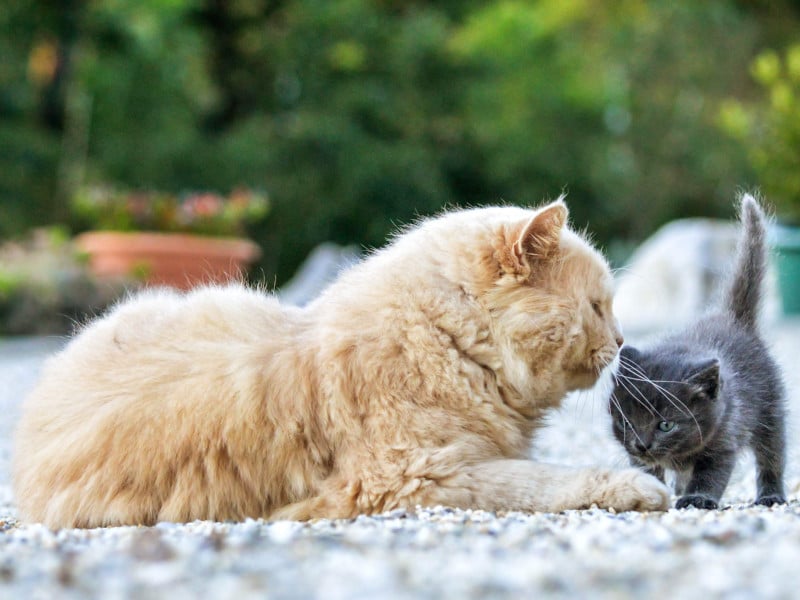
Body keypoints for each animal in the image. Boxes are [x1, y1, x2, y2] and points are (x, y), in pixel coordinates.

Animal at [14, 199, 668, 528]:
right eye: (598, 306)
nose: (622, 339)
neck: (447, 342)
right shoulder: (420, 475)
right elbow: (543, 480)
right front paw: (638, 489)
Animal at [612, 195, 788, 508]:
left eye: (666, 425)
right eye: (627, 421)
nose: (642, 444)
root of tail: (733, 318)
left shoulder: (724, 438)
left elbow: (711, 473)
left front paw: (698, 498)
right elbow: (647, 470)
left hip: (771, 408)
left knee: (772, 455)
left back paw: (771, 495)